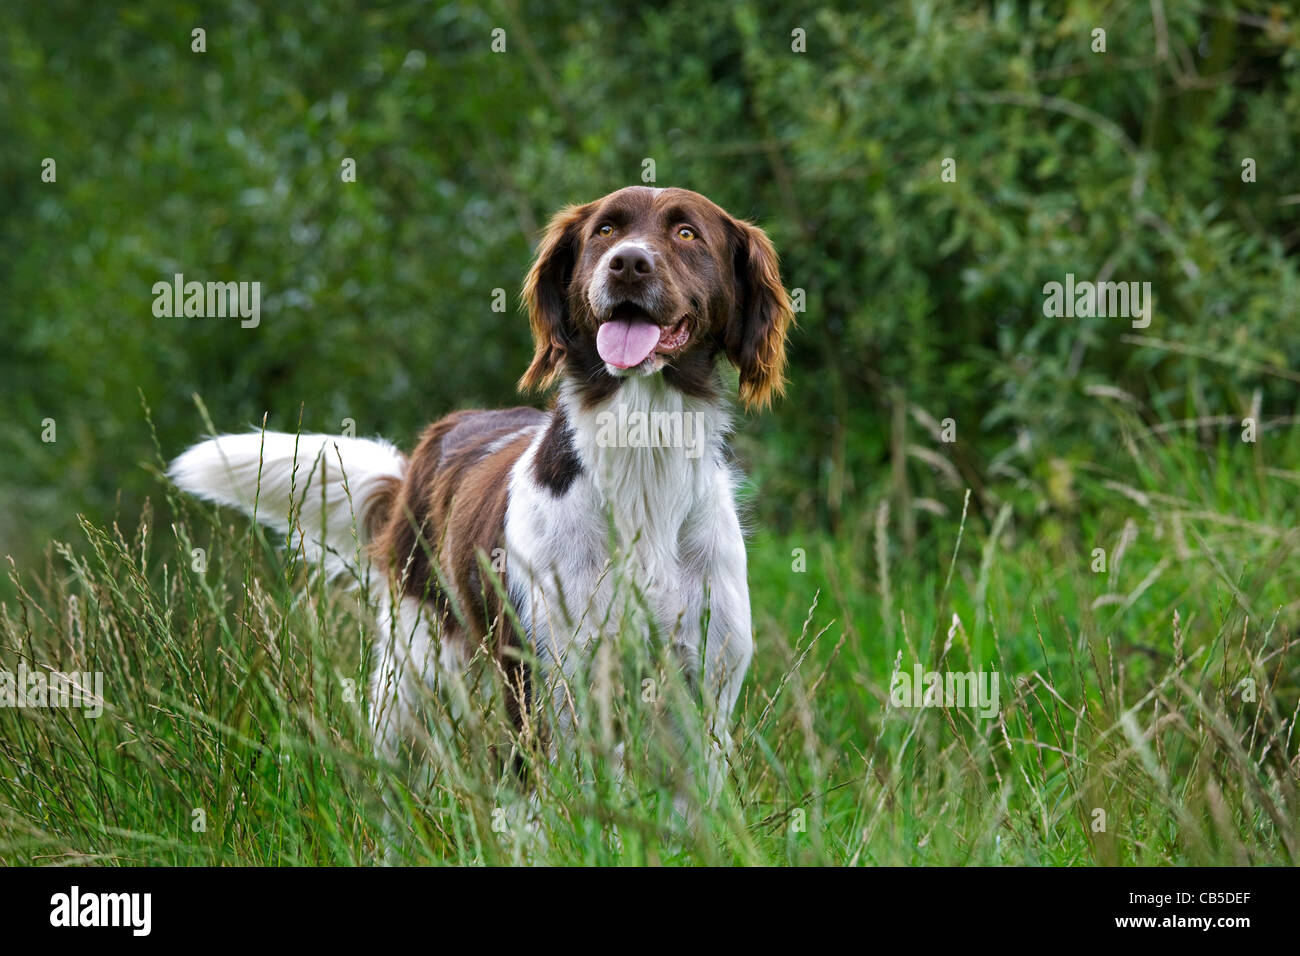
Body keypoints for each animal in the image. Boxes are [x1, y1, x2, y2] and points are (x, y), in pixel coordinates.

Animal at [172, 184, 790, 790]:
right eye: (606, 230)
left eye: (686, 233)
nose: (628, 264)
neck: (643, 461)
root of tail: (430, 444)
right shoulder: (550, 685)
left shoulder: (702, 696)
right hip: (413, 670)